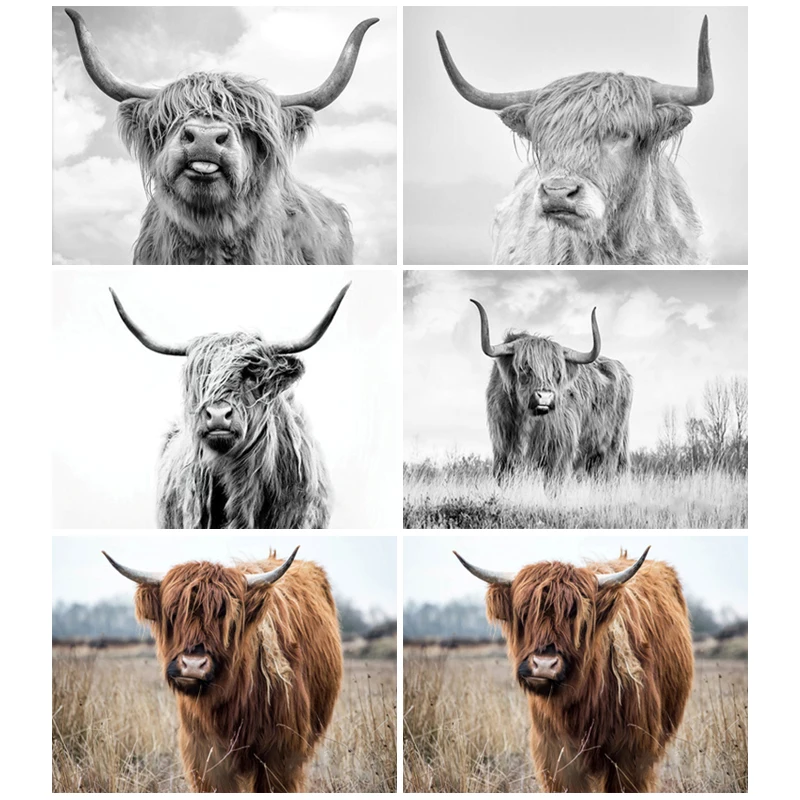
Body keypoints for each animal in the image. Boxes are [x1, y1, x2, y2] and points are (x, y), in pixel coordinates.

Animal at [470, 299, 632, 480]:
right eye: (524, 368)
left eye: (557, 372)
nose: (545, 397)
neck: (526, 420)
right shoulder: (503, 453)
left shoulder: (558, 454)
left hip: (610, 448)